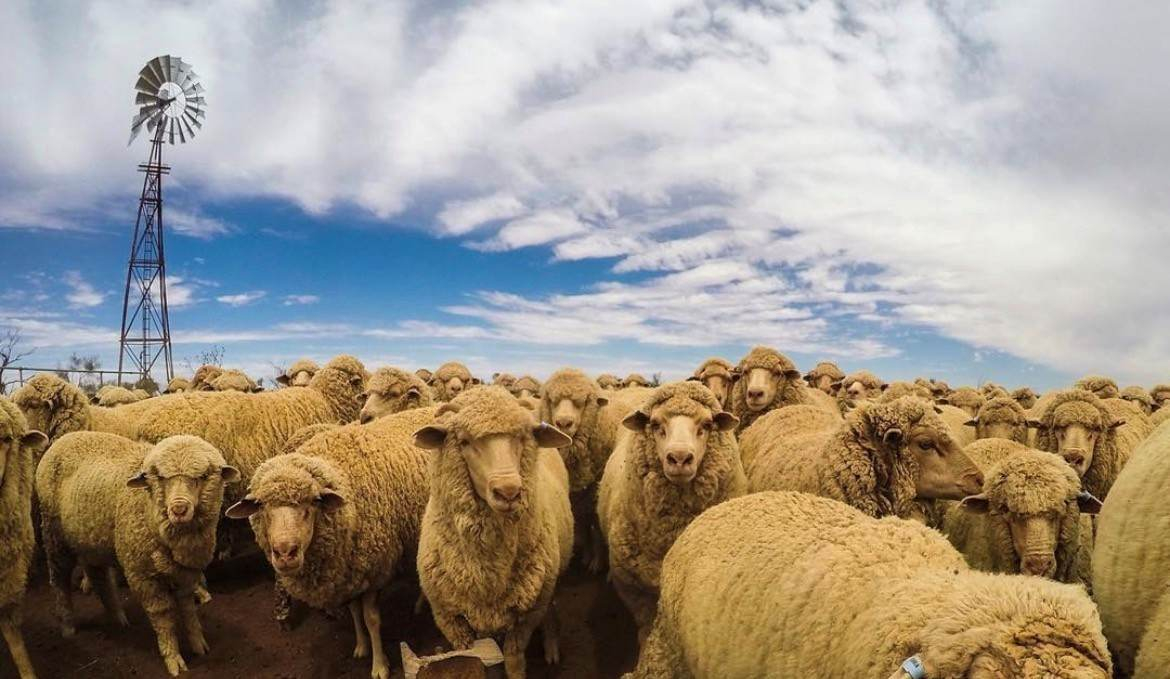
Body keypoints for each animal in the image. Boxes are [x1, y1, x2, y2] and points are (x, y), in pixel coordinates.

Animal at [37, 433, 238, 676]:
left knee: (99, 576)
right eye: (160, 477)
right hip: (54, 535)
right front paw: (173, 658)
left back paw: (118, 618)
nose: (178, 509)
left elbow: (188, 607)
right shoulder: (142, 574)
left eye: (203, 476)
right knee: (59, 580)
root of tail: (65, 437)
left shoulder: (185, 570)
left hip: (93, 540)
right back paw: (67, 626)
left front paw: (198, 643)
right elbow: (162, 616)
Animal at [226, 406, 435, 679]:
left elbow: (371, 619)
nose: (285, 553)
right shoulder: (348, 573)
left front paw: (380, 665)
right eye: (261, 506)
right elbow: (355, 612)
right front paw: (361, 647)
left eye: (313, 503)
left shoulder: (375, 570)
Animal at [413, 387, 574, 679]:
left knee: (551, 608)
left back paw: (551, 647)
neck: (487, 574)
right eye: (464, 441)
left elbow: (513, 662)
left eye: (521, 437)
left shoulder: (526, 617)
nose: (508, 491)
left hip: (550, 580)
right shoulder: (451, 619)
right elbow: (471, 659)